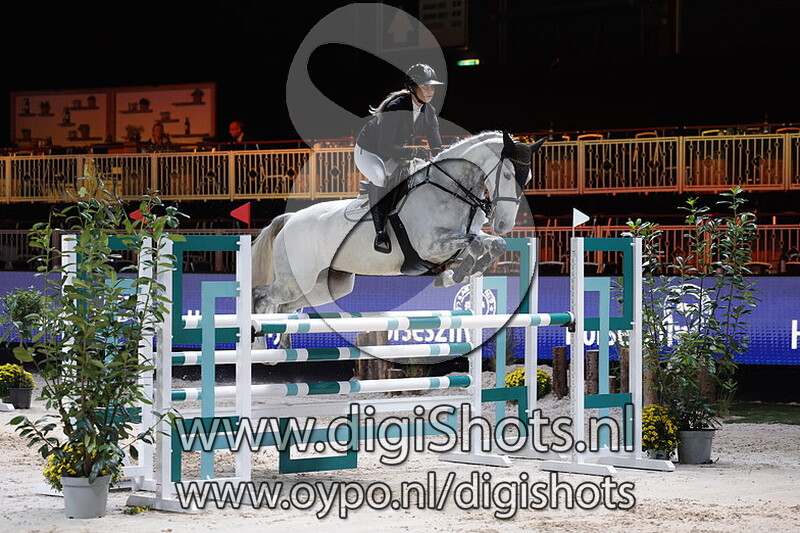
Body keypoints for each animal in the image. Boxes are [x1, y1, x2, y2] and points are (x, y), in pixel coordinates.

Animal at [252, 130, 543, 315]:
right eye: (507, 175)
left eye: (528, 179)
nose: (504, 224)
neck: (451, 189)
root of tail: (290, 220)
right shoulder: (430, 247)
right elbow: (476, 244)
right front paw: (457, 274)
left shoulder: (465, 239)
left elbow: (492, 245)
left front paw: (458, 274)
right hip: (294, 280)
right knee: (261, 296)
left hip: (327, 285)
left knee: (285, 306)